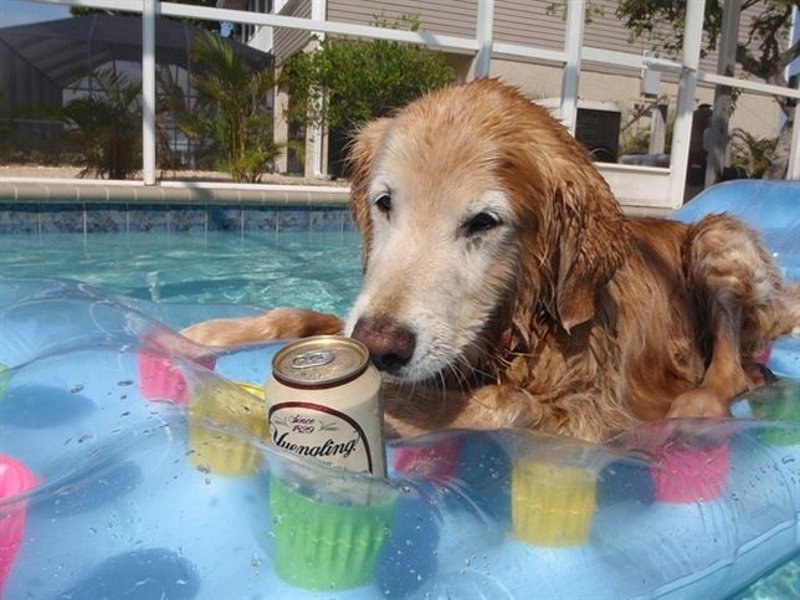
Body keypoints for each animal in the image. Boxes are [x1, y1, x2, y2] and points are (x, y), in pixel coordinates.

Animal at [182, 78, 800, 443]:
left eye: (483, 222)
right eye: (385, 203)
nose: (381, 349)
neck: (515, 330)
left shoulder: (591, 416)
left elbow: (506, 403)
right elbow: (303, 318)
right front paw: (205, 335)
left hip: (717, 238)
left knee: (732, 370)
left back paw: (700, 402)